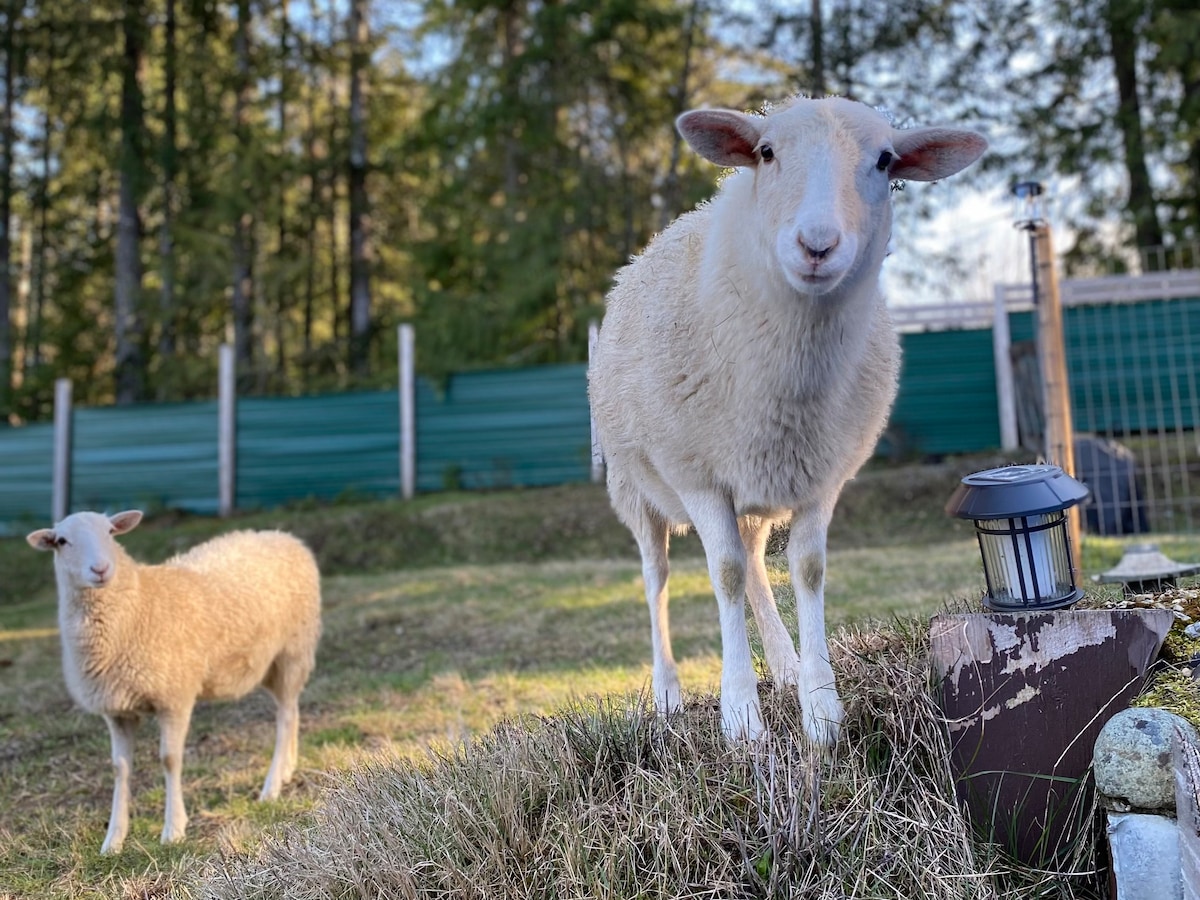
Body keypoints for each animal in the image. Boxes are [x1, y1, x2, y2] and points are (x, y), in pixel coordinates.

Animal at [29, 511, 324, 854]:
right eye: (61, 541)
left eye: (111, 532)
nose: (100, 569)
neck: (136, 605)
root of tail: (283, 536)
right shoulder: (116, 710)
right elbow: (120, 768)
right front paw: (113, 840)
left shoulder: (174, 696)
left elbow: (169, 759)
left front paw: (173, 829)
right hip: (271, 664)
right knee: (291, 710)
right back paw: (288, 769)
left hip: (293, 649)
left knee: (286, 716)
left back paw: (272, 786)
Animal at [585, 97, 988, 748]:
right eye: (766, 153)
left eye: (886, 160)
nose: (817, 245)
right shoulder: (699, 476)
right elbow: (721, 574)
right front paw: (741, 719)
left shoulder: (821, 475)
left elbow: (807, 569)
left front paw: (820, 707)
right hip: (633, 485)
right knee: (658, 575)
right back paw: (668, 693)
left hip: (755, 490)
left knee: (753, 563)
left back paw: (784, 664)